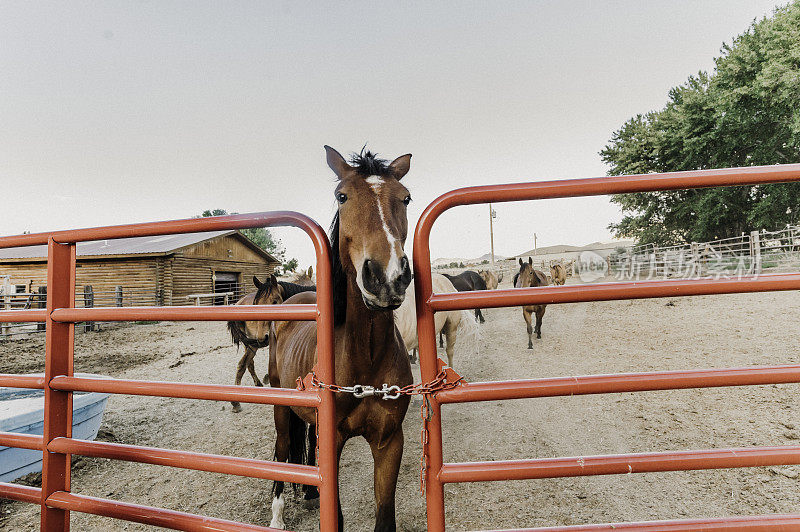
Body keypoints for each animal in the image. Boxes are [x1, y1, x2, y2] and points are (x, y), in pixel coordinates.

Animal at [268, 147, 412, 532]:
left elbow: (385, 516)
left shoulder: (389, 442)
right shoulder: (332, 441)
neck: (366, 358)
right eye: (342, 196)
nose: (386, 277)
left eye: (406, 198)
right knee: (282, 449)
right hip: (280, 406)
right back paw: (276, 515)